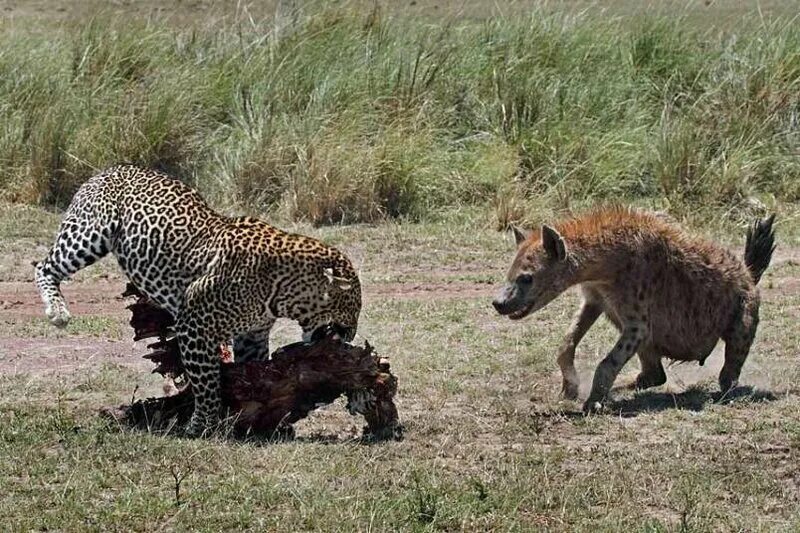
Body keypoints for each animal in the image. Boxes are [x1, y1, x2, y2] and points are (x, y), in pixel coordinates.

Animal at [34, 164, 362, 434]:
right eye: (353, 310)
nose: (350, 336)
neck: (283, 289)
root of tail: (109, 169)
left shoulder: (252, 335)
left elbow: (252, 372)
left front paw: (253, 413)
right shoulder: (195, 326)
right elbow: (207, 384)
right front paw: (202, 424)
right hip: (89, 235)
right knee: (44, 266)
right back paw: (57, 311)